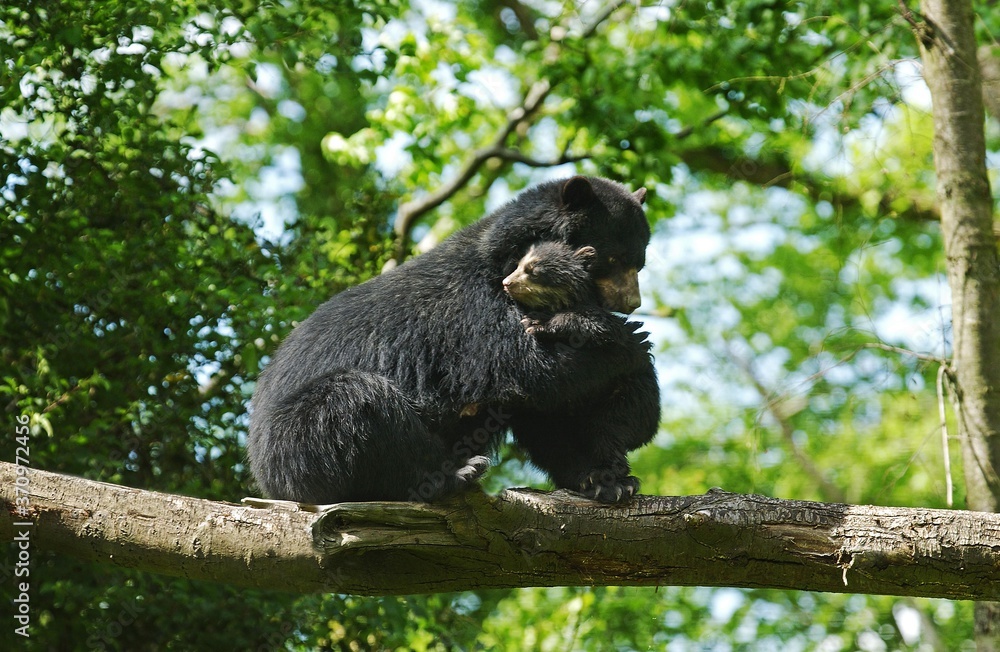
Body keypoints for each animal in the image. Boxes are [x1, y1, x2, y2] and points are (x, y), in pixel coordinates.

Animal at [247, 175, 661, 504]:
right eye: (614, 258)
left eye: (639, 263)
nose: (631, 303)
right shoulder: (473, 308)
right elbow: (526, 367)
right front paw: (629, 342)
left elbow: (558, 415)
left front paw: (606, 479)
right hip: (295, 443)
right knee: (355, 403)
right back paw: (453, 474)